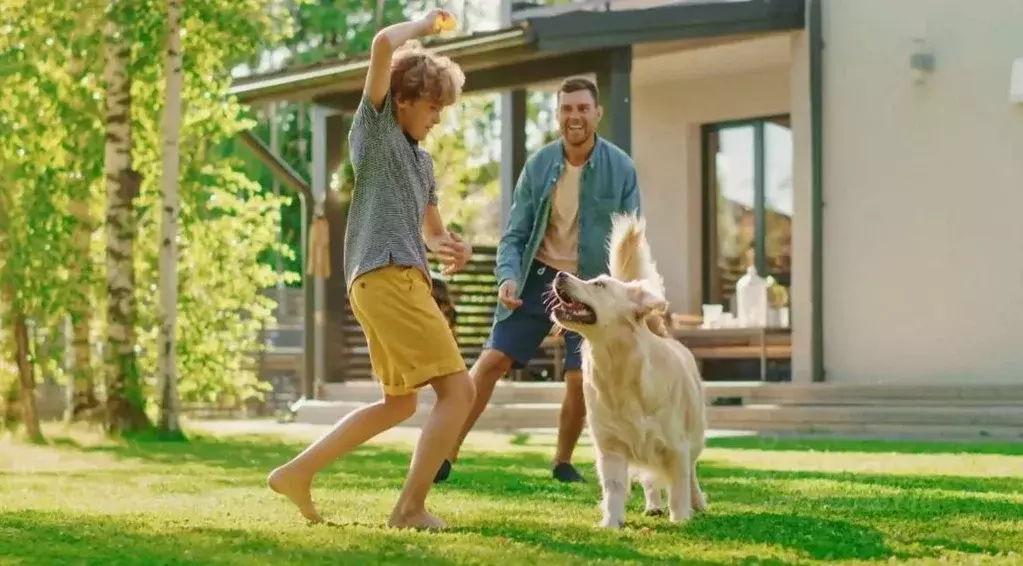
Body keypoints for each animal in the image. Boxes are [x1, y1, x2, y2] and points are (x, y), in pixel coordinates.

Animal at [548, 211, 707, 524]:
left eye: (598, 284)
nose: (559, 274)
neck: (618, 366)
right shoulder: (610, 447)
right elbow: (614, 489)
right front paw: (611, 523)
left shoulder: (677, 446)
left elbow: (679, 488)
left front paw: (681, 519)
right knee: (650, 481)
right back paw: (653, 505)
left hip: (694, 436)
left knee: (691, 474)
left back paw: (697, 504)